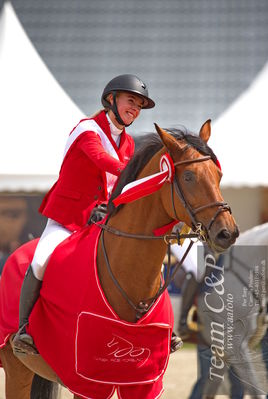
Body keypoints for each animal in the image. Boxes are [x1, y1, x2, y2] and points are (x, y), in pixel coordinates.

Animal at [0, 122, 239, 399]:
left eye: (218, 175)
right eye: (189, 176)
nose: (227, 233)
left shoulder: (144, 381)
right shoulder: (88, 383)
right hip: (16, 367)